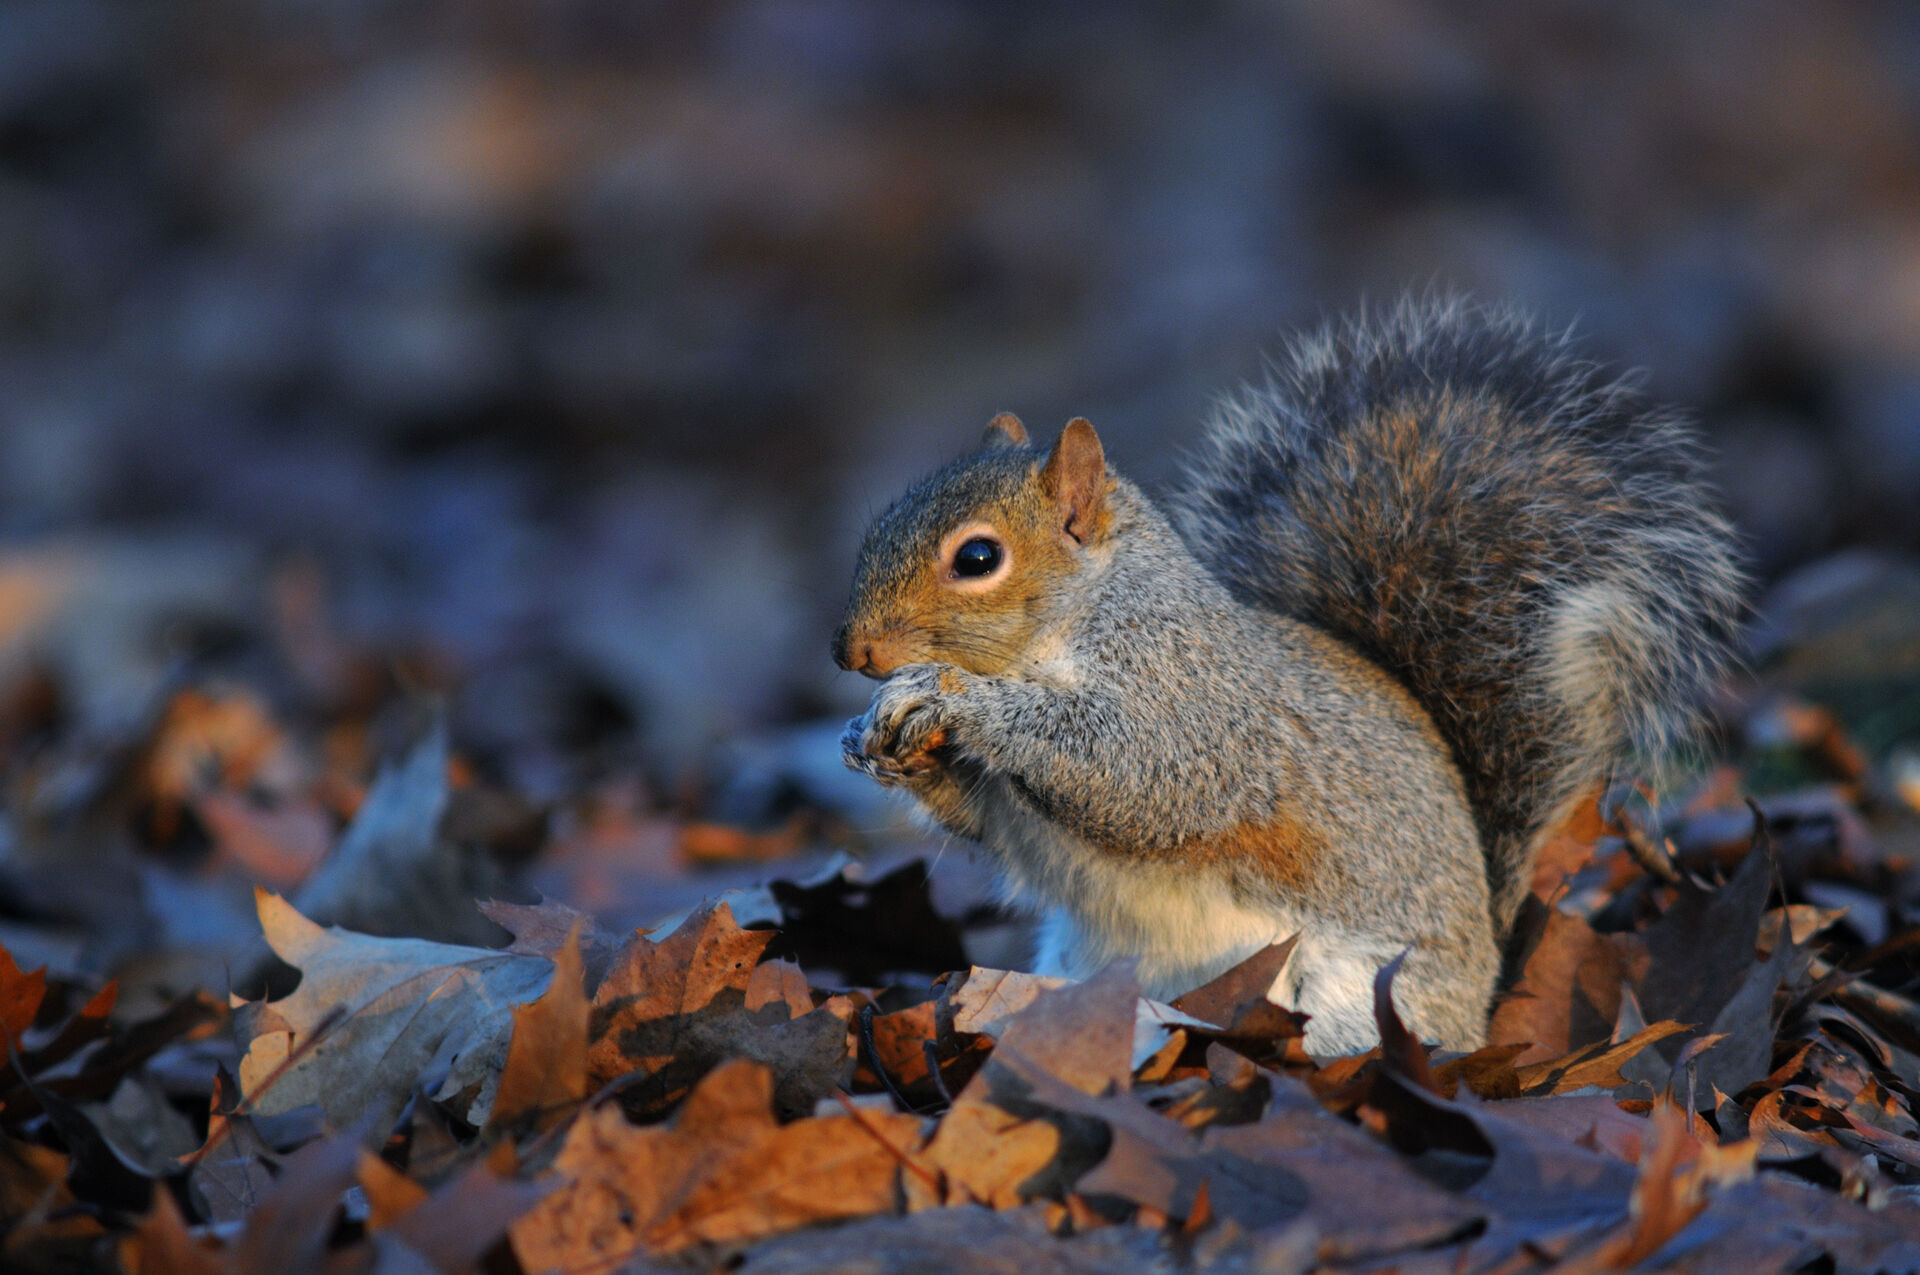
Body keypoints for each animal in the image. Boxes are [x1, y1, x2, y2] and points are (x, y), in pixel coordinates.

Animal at [833, 298, 1744, 1055]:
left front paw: (954, 697)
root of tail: (1484, 982)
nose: (851, 652)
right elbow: (994, 820)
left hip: (1350, 996)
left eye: (977, 558)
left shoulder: (1197, 699)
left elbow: (1140, 774)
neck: (1075, 623)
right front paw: (874, 736)